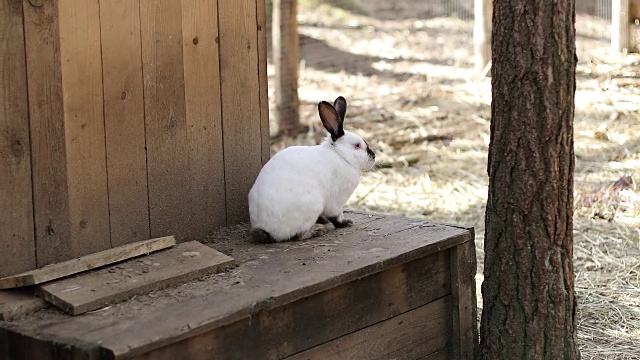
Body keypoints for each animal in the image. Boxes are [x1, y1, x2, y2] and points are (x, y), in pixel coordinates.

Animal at [246, 95, 376, 243]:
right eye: (357, 145)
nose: (373, 156)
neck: (340, 155)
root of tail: (266, 230)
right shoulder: (336, 201)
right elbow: (336, 216)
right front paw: (346, 223)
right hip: (312, 206)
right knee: (298, 235)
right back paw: (318, 230)